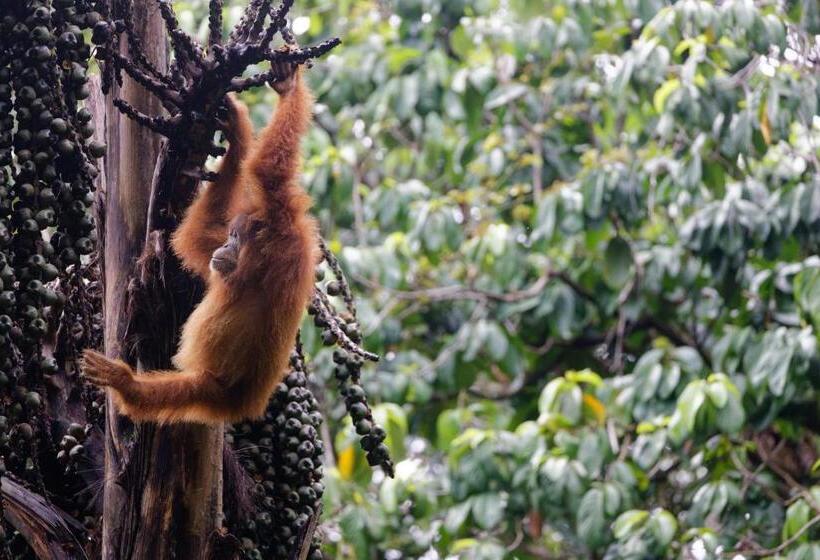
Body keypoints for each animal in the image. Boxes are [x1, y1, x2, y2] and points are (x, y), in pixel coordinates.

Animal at [81, 56, 319, 424]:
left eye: (236, 237)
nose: (226, 245)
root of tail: (244, 405)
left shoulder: (283, 232)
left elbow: (269, 172)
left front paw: (288, 90)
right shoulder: (226, 261)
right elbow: (195, 237)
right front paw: (237, 130)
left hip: (219, 390)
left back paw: (127, 385)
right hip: (217, 392)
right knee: (190, 392)